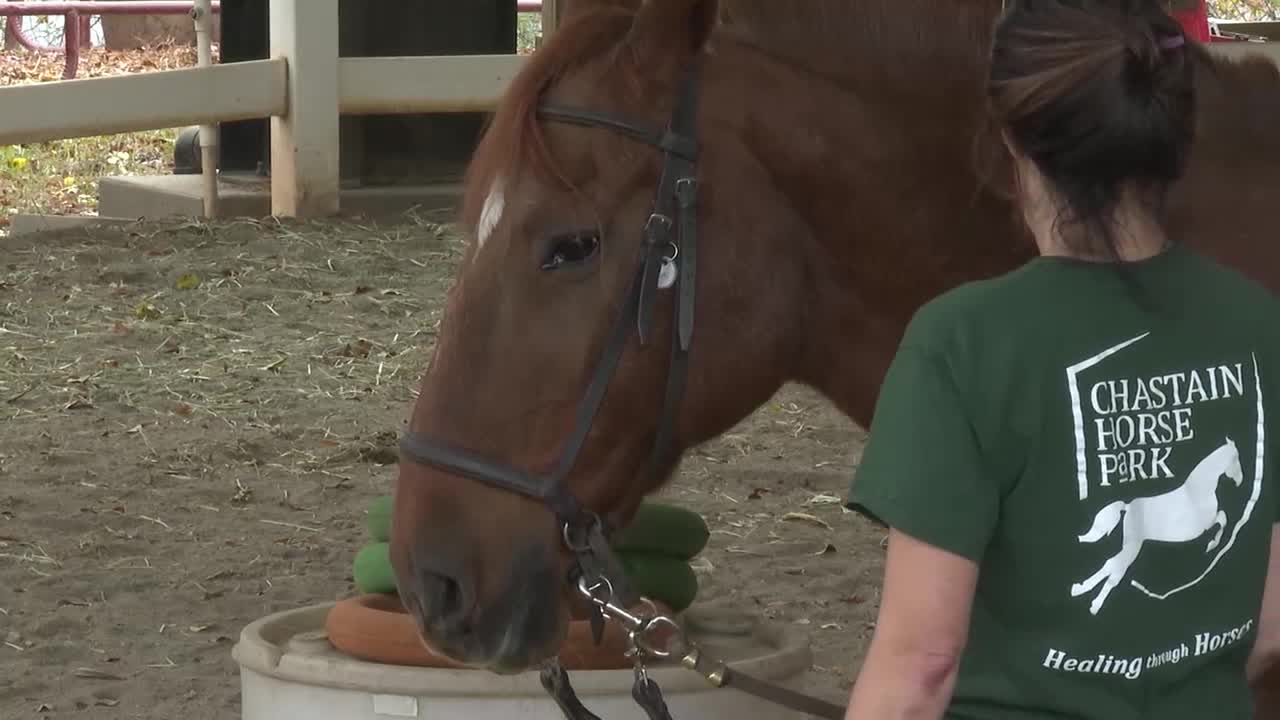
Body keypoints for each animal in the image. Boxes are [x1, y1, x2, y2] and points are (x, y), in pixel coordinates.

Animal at [1071, 437, 1246, 616]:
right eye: (1236, 459)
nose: (1240, 481)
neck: (1197, 492)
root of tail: (1128, 507)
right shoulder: (1207, 523)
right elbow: (1223, 518)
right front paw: (1212, 545)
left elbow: (1223, 518)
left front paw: (1212, 545)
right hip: (1133, 546)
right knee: (1115, 568)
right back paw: (1094, 604)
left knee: (1111, 565)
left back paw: (1079, 590)